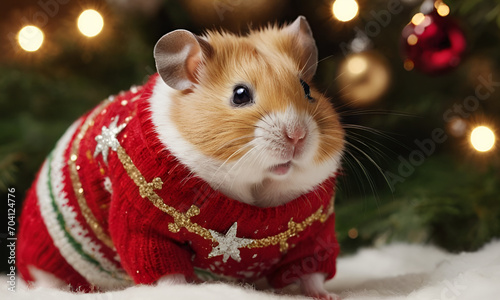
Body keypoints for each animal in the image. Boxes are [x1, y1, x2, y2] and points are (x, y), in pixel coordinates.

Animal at [16, 15, 344, 300]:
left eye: (307, 89)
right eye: (240, 95)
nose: (297, 136)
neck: (254, 192)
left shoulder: (315, 236)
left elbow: (311, 272)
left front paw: (328, 296)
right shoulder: (143, 231)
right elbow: (168, 274)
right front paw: (185, 291)